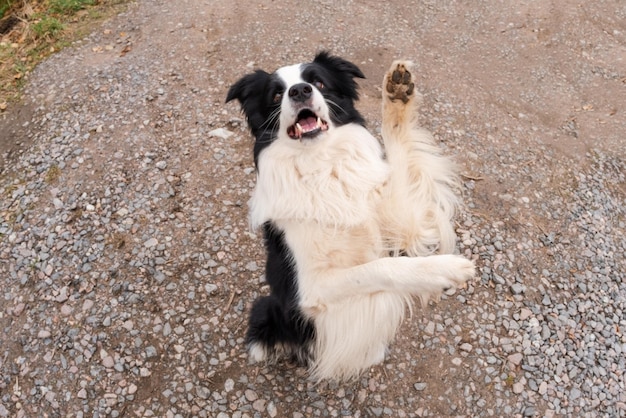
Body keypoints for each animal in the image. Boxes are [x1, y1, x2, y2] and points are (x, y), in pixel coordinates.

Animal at [224, 52, 472, 382]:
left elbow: (399, 154)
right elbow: (381, 267)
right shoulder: (311, 288)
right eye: (276, 94)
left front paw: (398, 92)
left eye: (318, 82)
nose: (299, 91)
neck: (324, 166)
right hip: (265, 309)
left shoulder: (411, 225)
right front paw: (448, 268)